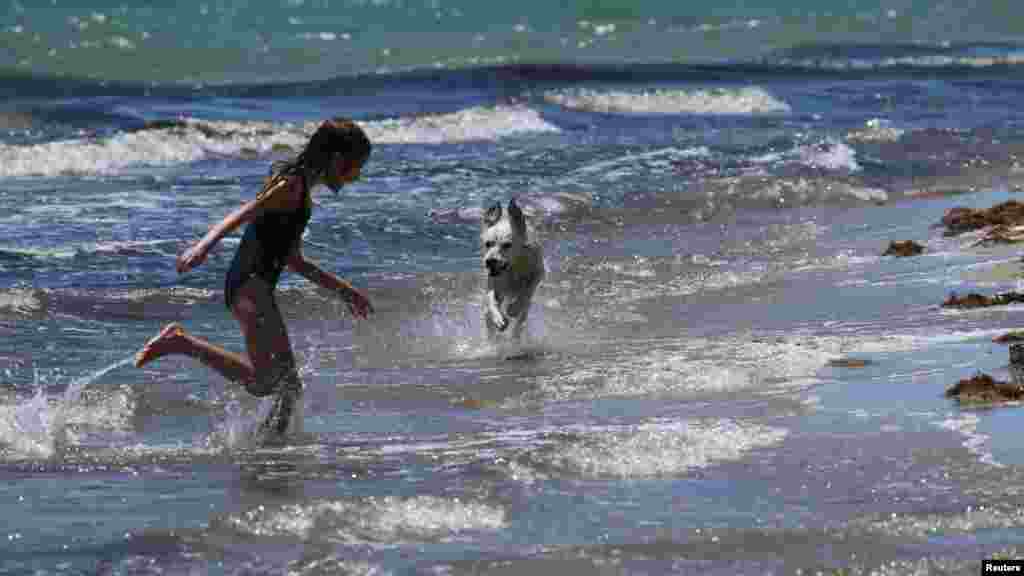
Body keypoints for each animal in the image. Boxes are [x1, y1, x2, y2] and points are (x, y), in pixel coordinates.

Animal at [479, 198, 544, 338]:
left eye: (507, 245)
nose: (490, 261)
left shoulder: (538, 273)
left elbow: (527, 291)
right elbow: (491, 299)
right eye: (488, 244)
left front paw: (513, 308)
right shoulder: (493, 282)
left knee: (521, 320)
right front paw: (499, 319)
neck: (513, 267)